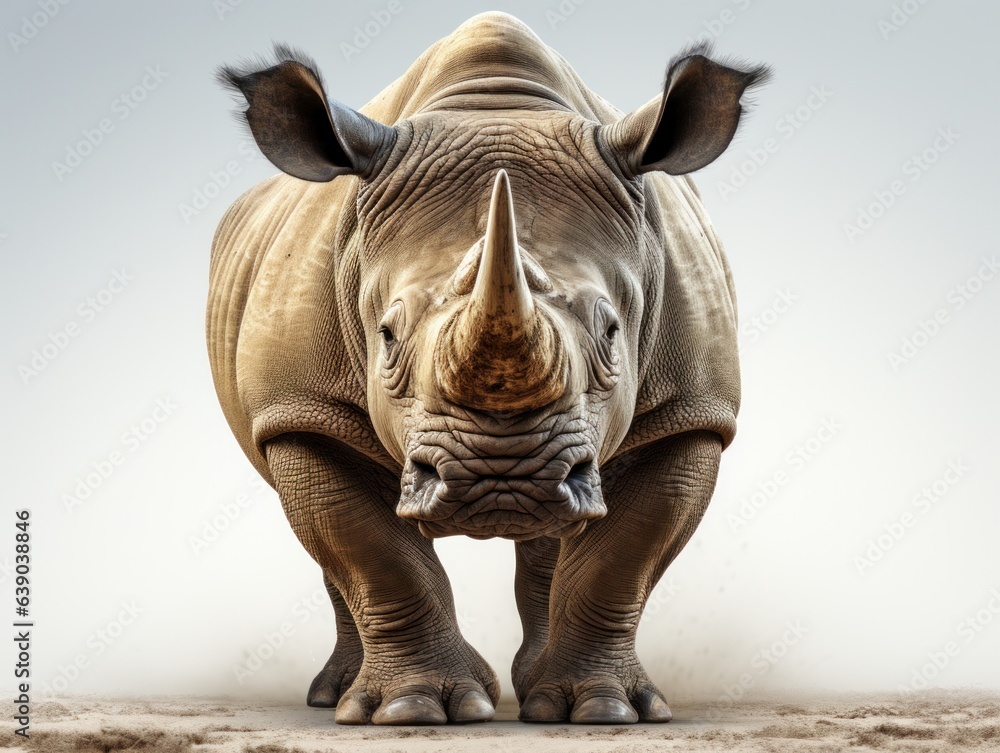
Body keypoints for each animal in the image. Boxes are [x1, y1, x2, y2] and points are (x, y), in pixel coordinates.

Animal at [208, 12, 767, 725]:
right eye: (385, 337)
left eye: (612, 333)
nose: (503, 481)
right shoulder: (300, 410)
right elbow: (375, 556)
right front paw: (416, 711)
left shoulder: (689, 413)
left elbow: (619, 562)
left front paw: (604, 712)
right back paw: (335, 698)